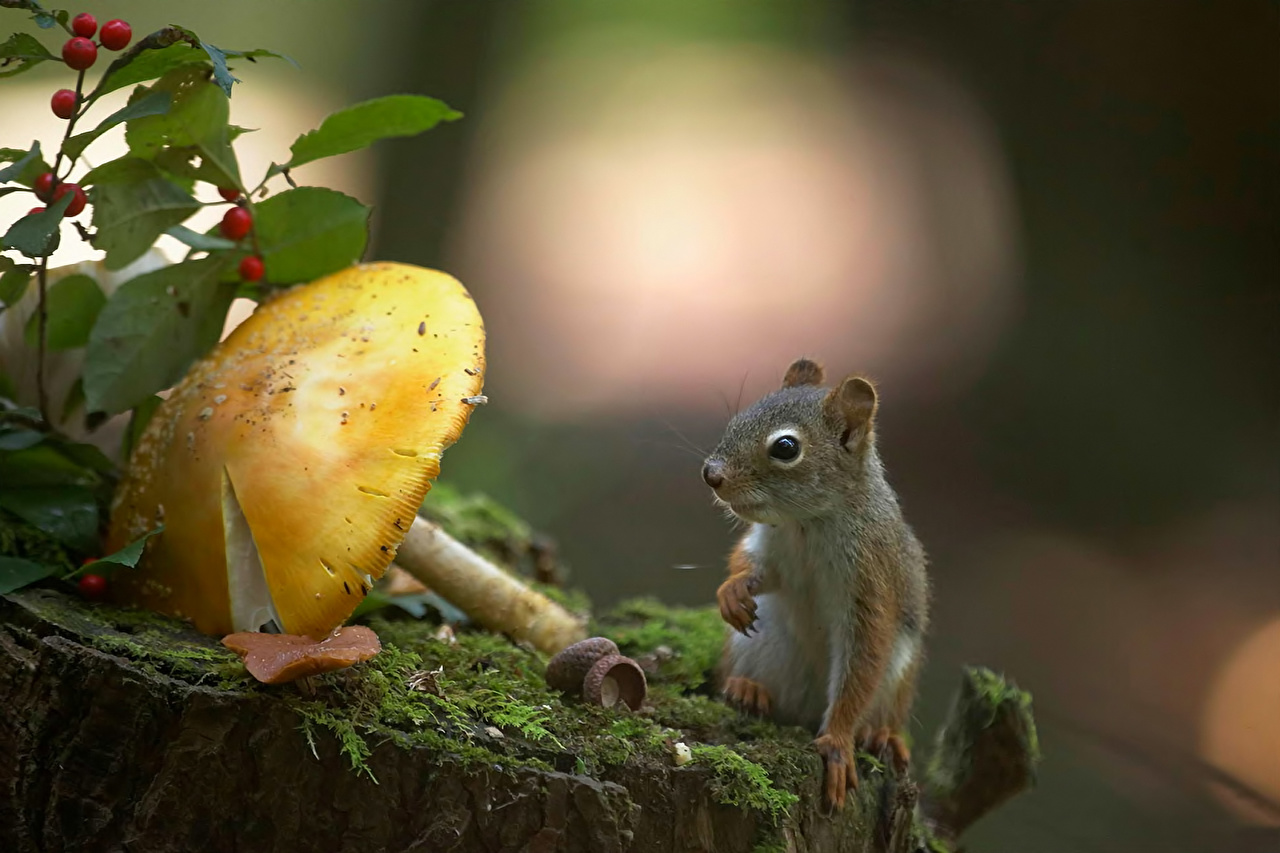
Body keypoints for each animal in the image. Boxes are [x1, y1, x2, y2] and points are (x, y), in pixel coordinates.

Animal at [701, 358, 930, 809]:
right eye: (738, 418)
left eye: (786, 448)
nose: (710, 474)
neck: (805, 524)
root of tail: (806, 714)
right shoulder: (768, 545)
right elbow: (750, 565)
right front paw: (732, 592)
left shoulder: (871, 580)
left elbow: (864, 656)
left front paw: (838, 744)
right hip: (759, 645)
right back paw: (747, 689)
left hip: (899, 672)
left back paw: (879, 734)